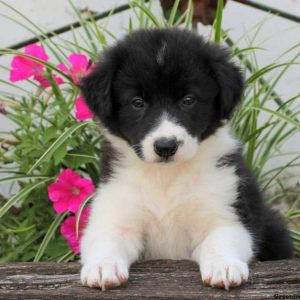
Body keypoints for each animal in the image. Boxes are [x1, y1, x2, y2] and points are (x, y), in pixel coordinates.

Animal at [79, 28, 292, 290]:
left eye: (188, 100)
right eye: (137, 103)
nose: (166, 146)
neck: (166, 178)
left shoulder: (227, 214)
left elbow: (221, 239)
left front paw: (224, 267)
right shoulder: (117, 214)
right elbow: (106, 239)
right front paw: (102, 267)